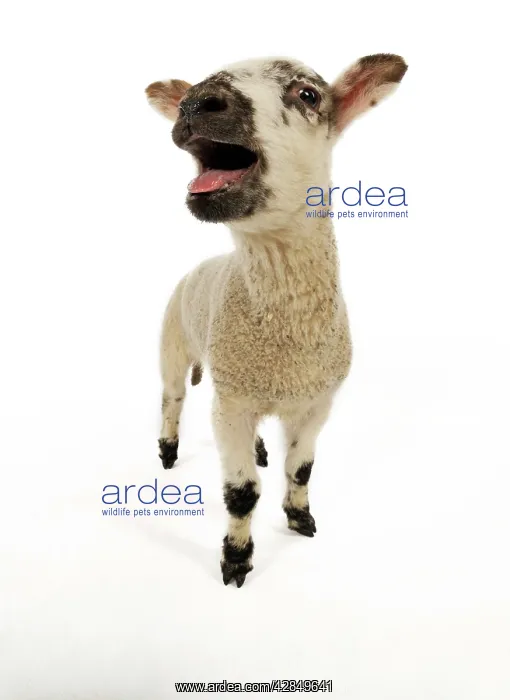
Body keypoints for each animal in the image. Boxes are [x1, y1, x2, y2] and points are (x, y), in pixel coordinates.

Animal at [146, 54, 407, 587]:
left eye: (308, 94)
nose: (195, 103)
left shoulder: (317, 402)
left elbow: (301, 469)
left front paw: (301, 518)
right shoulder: (230, 404)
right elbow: (242, 492)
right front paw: (236, 560)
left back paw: (263, 451)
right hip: (172, 343)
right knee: (171, 399)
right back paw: (167, 452)